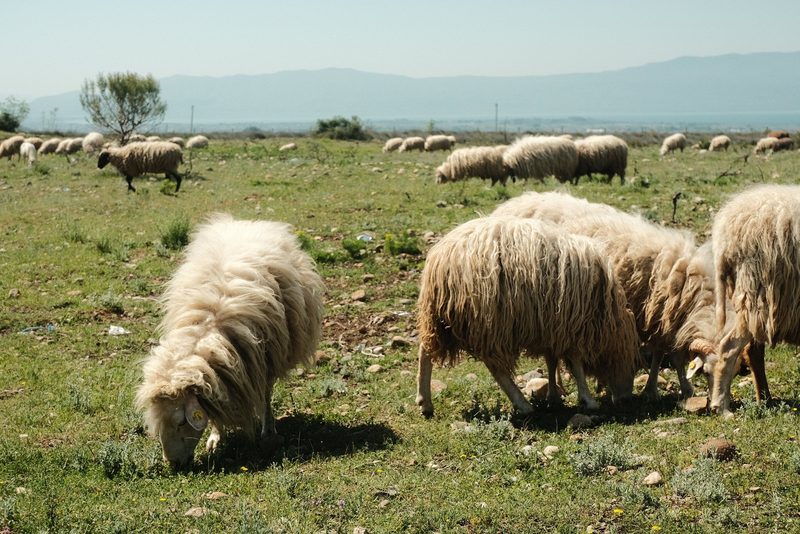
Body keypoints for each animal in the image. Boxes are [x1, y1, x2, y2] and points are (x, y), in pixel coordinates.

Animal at [135, 214, 324, 467]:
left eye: (181, 421)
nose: (172, 464)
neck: (210, 325)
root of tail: (246, 222)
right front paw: (216, 437)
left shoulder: (264, 359)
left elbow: (264, 395)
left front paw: (267, 434)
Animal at [415, 215, 638, 417]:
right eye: (632, 363)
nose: (626, 400)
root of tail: (440, 256)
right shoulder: (572, 326)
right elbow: (576, 364)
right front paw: (588, 399)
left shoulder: (553, 328)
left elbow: (552, 361)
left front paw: (553, 396)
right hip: (489, 321)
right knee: (496, 368)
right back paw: (522, 404)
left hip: (441, 318)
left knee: (425, 350)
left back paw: (424, 402)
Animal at [492, 191, 722, 400]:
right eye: (707, 372)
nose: (716, 405)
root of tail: (511, 204)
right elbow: (670, 357)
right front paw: (667, 389)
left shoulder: (664, 320)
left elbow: (663, 356)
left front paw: (669, 388)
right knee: (552, 355)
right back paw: (557, 389)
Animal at [708, 185, 800, 415]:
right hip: (758, 294)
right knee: (729, 347)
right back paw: (721, 406)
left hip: (753, 302)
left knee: (752, 351)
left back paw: (765, 400)